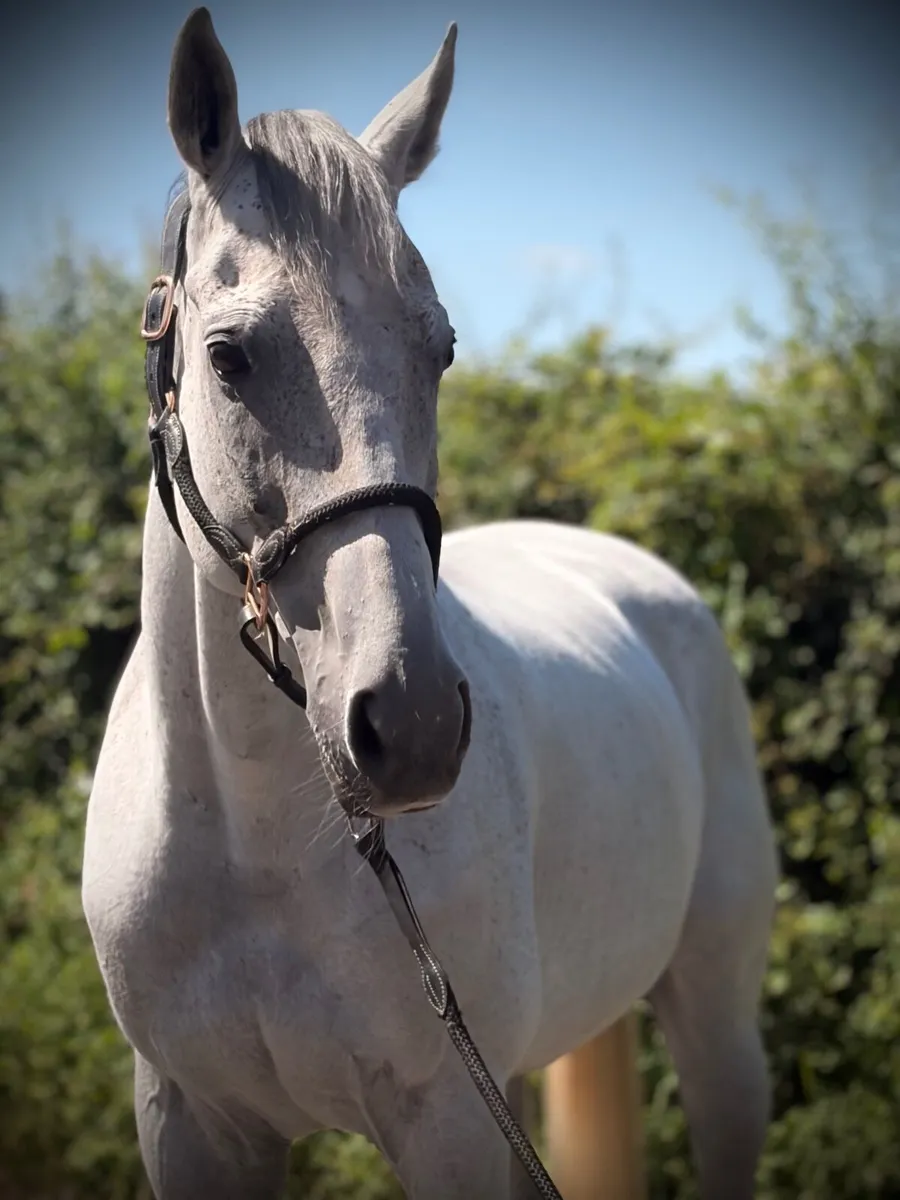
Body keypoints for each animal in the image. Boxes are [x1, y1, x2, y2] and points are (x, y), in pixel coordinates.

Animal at [81, 9, 778, 1198]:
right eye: (228, 355)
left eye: (440, 347)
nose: (407, 725)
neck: (253, 848)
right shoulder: (191, 1122)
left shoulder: (450, 1126)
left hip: (716, 1018)